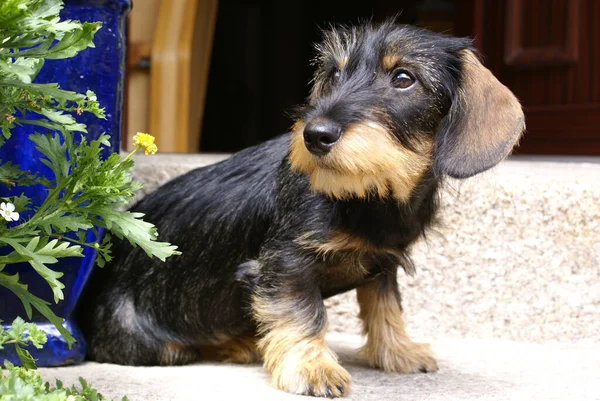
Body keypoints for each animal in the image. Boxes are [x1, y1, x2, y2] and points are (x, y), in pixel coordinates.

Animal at [77, 21, 524, 396]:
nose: (314, 135)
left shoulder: (383, 264)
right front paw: (312, 369)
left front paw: (398, 352)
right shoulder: (285, 264)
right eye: (335, 75)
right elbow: (303, 314)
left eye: (403, 78)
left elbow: (386, 308)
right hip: (153, 342)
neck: (369, 196)